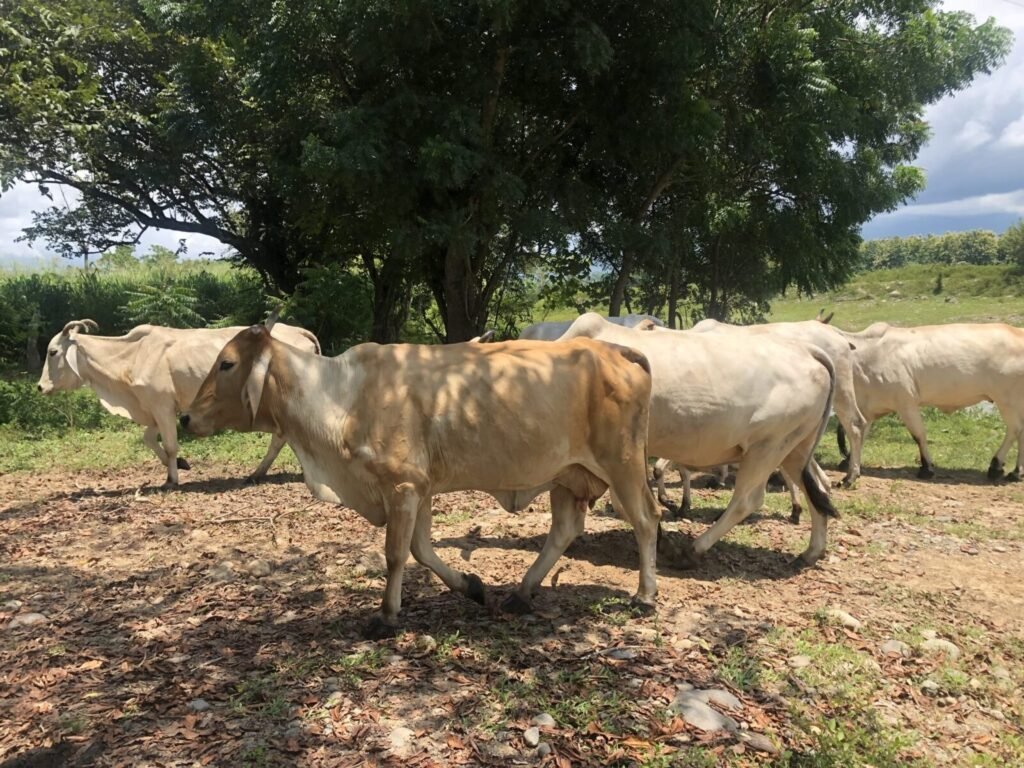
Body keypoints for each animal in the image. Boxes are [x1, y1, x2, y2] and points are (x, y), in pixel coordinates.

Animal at [37, 319, 320, 486]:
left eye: (53, 352)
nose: (40, 387)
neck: (131, 356)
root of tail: (299, 330)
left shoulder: (162, 406)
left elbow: (171, 445)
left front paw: (171, 479)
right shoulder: (157, 408)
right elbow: (149, 439)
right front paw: (181, 464)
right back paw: (260, 472)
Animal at [180, 322, 663, 638]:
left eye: (227, 364)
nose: (185, 417)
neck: (342, 397)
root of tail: (616, 350)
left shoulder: (403, 487)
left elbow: (396, 554)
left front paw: (385, 617)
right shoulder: (421, 489)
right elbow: (421, 549)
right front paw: (471, 587)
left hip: (621, 464)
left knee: (645, 520)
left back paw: (644, 596)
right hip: (567, 475)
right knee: (564, 529)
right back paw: (521, 593)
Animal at [557, 313, 840, 568]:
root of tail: (809, 351)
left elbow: (625, 503)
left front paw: (665, 541)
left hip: (767, 446)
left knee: (747, 500)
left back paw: (693, 550)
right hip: (795, 448)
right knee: (818, 490)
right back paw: (811, 552)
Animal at [835, 322, 1024, 481]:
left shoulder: (906, 403)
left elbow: (919, 435)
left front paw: (927, 468)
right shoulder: (870, 408)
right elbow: (861, 433)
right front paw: (848, 461)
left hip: (1007, 400)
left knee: (1015, 429)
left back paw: (999, 466)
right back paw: (1015, 472)